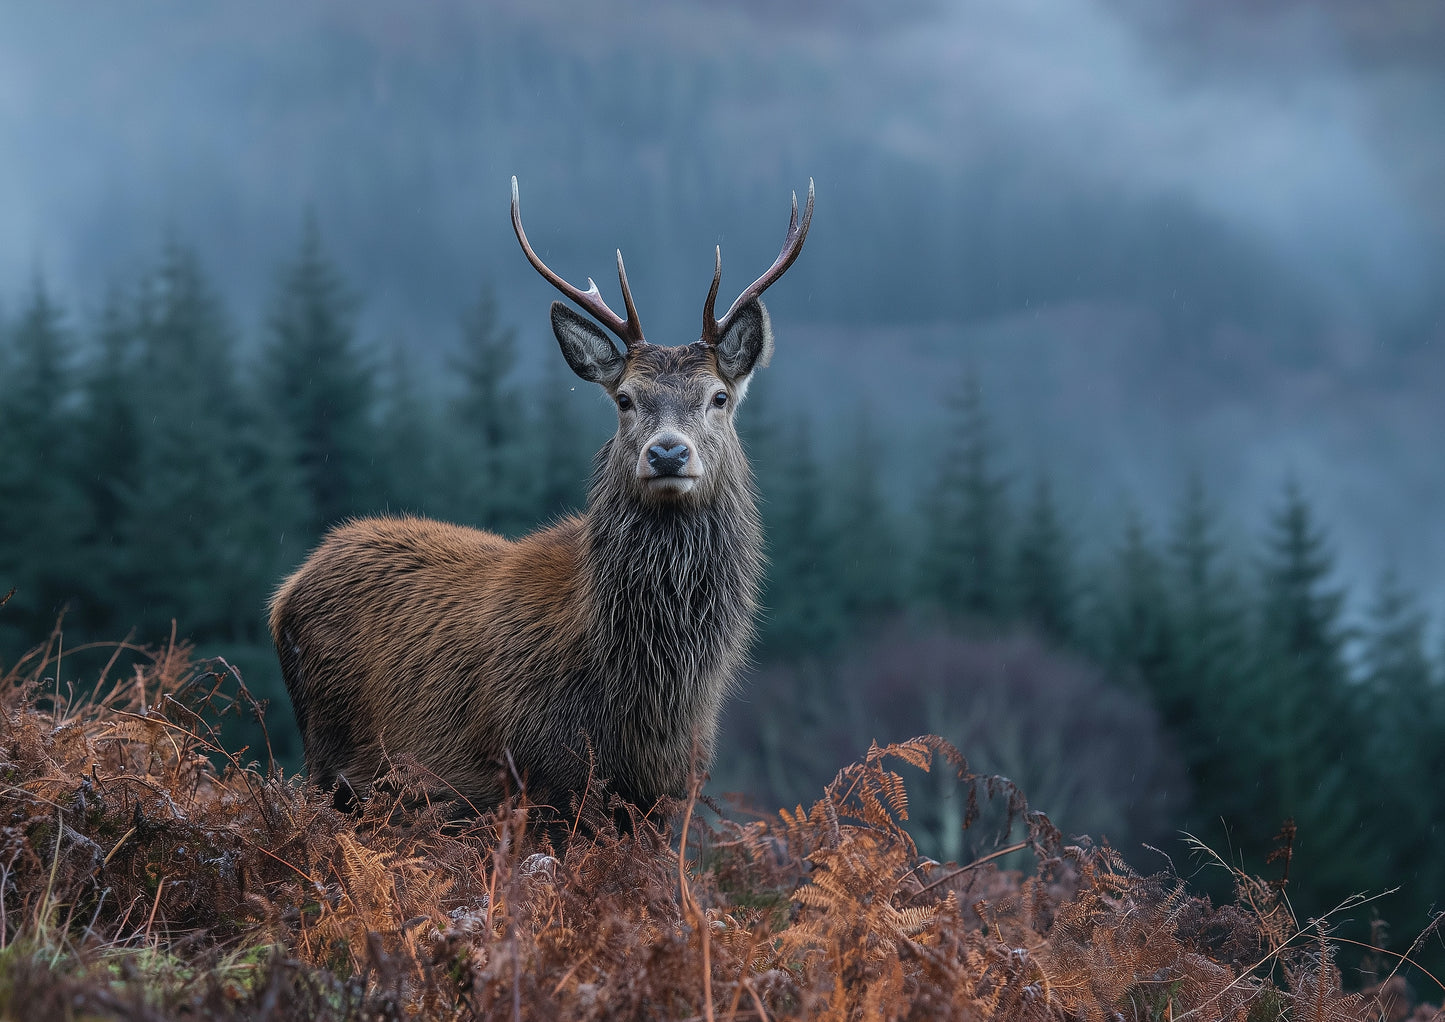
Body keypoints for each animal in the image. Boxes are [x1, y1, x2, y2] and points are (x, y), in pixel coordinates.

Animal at [269, 176, 813, 825]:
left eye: (718, 397)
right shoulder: (542, 779)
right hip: (329, 759)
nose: (666, 453)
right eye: (625, 399)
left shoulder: (668, 794)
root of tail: (285, 592)